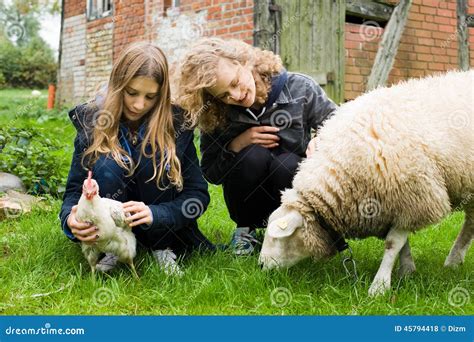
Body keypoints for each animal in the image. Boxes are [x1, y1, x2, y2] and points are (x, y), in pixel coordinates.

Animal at [260, 68, 474, 296]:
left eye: (277, 237)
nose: (260, 266)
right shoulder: (395, 203)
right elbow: (403, 244)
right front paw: (406, 271)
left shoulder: (414, 198)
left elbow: (393, 243)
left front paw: (379, 286)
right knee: (471, 223)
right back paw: (454, 261)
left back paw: (453, 259)